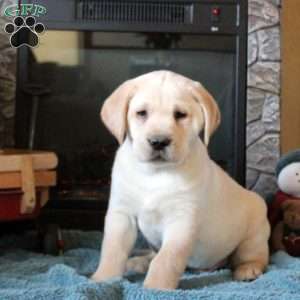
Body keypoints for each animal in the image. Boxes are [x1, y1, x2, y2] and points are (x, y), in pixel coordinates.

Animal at [91, 69, 270, 290]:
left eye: (180, 115)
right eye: (141, 113)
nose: (158, 141)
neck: (154, 174)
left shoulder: (182, 221)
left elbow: (167, 259)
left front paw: (155, 288)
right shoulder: (121, 214)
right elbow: (112, 249)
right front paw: (103, 279)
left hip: (254, 233)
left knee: (254, 256)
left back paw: (248, 269)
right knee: (152, 254)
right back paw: (139, 262)